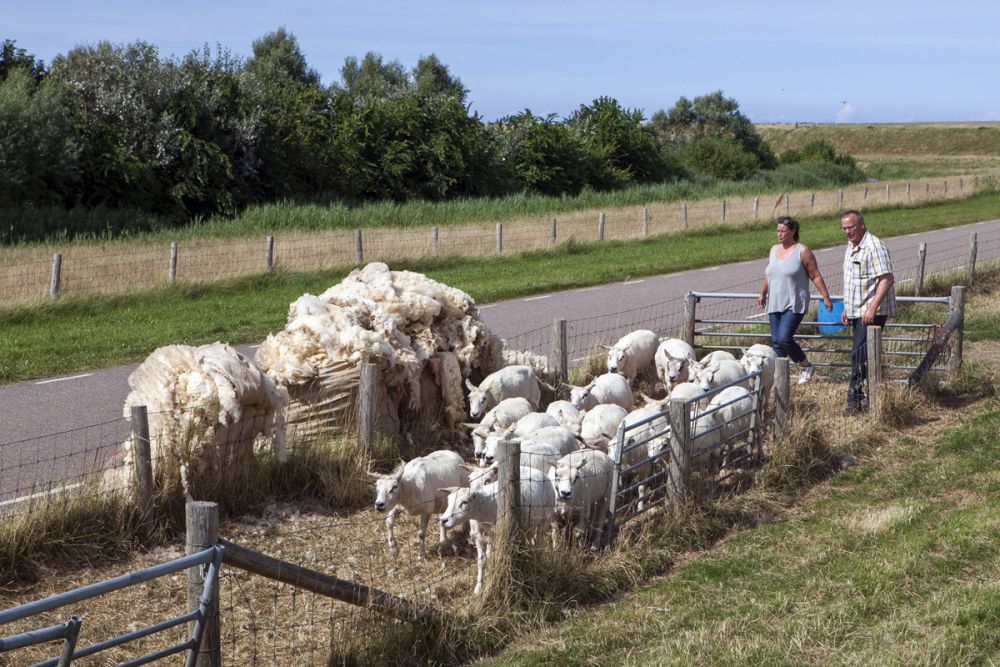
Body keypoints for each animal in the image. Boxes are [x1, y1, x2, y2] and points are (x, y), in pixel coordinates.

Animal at [442, 468, 560, 596]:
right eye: (448, 501)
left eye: (464, 502)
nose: (443, 520)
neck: (481, 513)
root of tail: (537, 471)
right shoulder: (478, 539)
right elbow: (481, 562)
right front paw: (478, 588)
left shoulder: (500, 539)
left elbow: (496, 559)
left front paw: (490, 584)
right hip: (526, 525)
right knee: (532, 542)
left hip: (544, 522)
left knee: (538, 546)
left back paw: (536, 566)